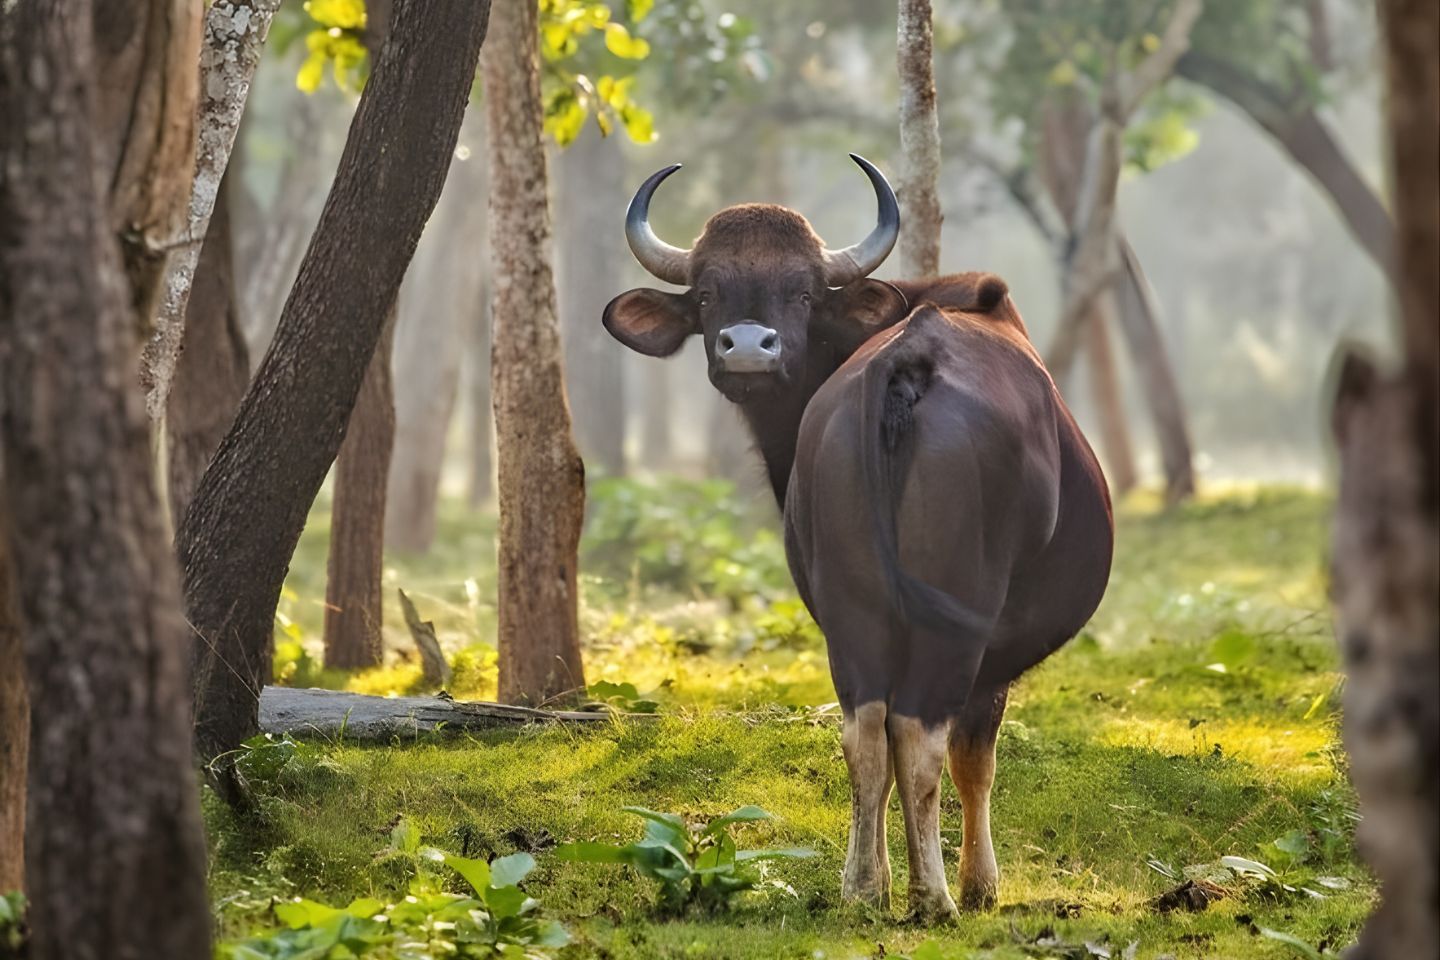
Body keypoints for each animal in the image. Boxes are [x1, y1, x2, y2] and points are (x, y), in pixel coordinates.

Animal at [603, 155, 1114, 919]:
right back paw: (935, 898)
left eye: (803, 291)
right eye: (707, 293)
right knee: (919, 735)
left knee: (864, 731)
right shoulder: (991, 661)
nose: (748, 347)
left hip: (852, 612)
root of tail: (910, 364)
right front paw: (980, 883)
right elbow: (974, 760)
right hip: (956, 617)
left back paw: (864, 887)